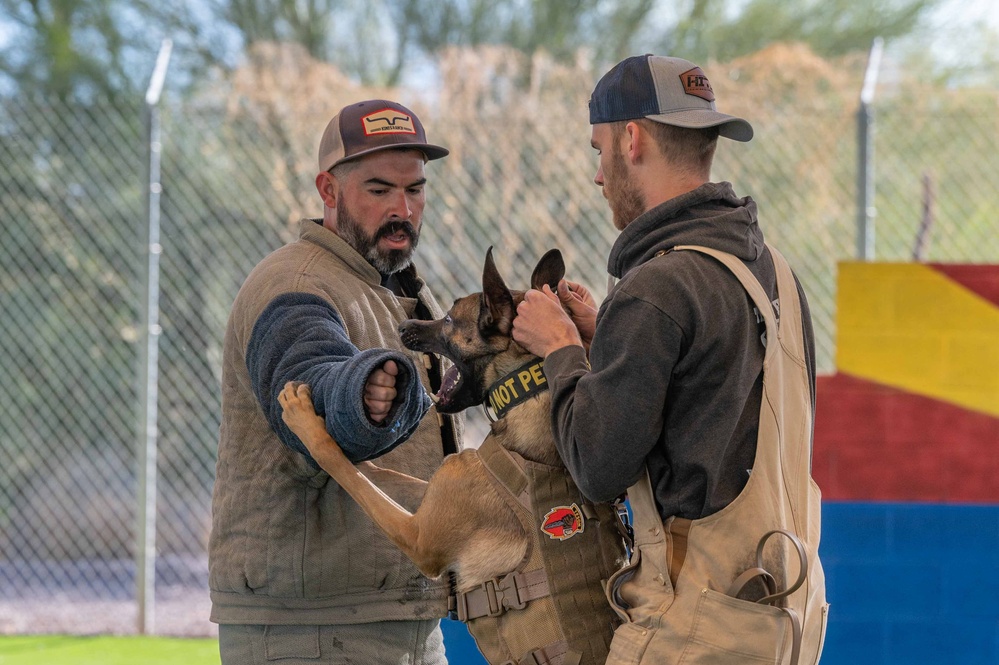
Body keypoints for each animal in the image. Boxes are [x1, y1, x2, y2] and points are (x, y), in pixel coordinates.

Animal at [282, 249, 624, 664]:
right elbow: (379, 473)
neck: (525, 397)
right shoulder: (437, 486)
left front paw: (306, 424)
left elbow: (347, 472)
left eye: (448, 319)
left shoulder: (417, 538)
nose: (404, 324)